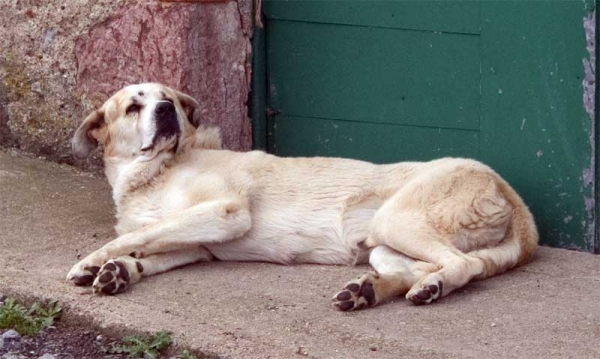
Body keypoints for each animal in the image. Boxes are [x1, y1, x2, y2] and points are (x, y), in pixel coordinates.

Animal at [67, 83, 540, 310]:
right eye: (134, 107)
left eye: (167, 100)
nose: (166, 111)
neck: (154, 172)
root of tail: (512, 195)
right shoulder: (200, 247)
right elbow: (149, 248)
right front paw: (120, 271)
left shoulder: (226, 212)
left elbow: (135, 236)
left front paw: (91, 262)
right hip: (382, 244)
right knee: (424, 267)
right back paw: (369, 292)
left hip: (398, 220)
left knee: (463, 266)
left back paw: (432, 288)